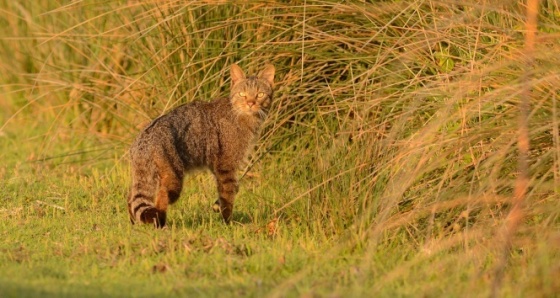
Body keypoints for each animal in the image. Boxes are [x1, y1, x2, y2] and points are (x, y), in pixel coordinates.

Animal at [127, 64, 276, 227]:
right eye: (242, 94)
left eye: (260, 94)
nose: (251, 103)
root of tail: (144, 139)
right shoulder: (226, 165)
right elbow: (228, 195)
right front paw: (227, 223)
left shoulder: (215, 164)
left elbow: (232, 189)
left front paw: (219, 209)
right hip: (173, 177)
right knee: (161, 196)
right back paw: (160, 224)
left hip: (146, 176)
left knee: (131, 199)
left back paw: (135, 224)